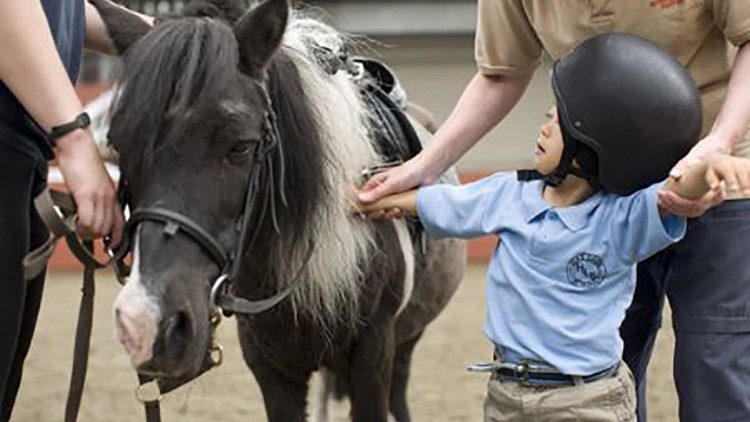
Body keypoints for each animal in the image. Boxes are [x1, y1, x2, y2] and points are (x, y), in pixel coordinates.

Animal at [93, 0, 465, 420]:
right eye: (118, 145)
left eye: (240, 146)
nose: (145, 322)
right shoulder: (269, 364)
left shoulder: (373, 353)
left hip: (407, 340)